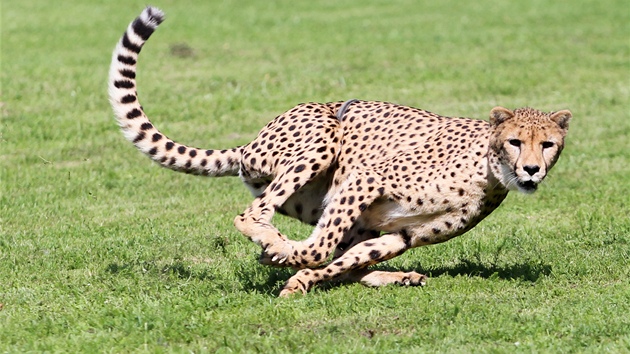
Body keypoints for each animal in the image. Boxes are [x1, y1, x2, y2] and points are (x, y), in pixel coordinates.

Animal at [107, 7, 572, 296]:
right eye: (515, 141)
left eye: (547, 145)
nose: (532, 170)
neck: (488, 168)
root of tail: (250, 143)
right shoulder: (365, 179)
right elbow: (317, 250)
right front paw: (284, 257)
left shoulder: (401, 233)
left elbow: (338, 259)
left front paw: (298, 280)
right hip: (321, 140)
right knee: (252, 215)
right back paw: (274, 242)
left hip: (346, 214)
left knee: (351, 263)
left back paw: (394, 277)